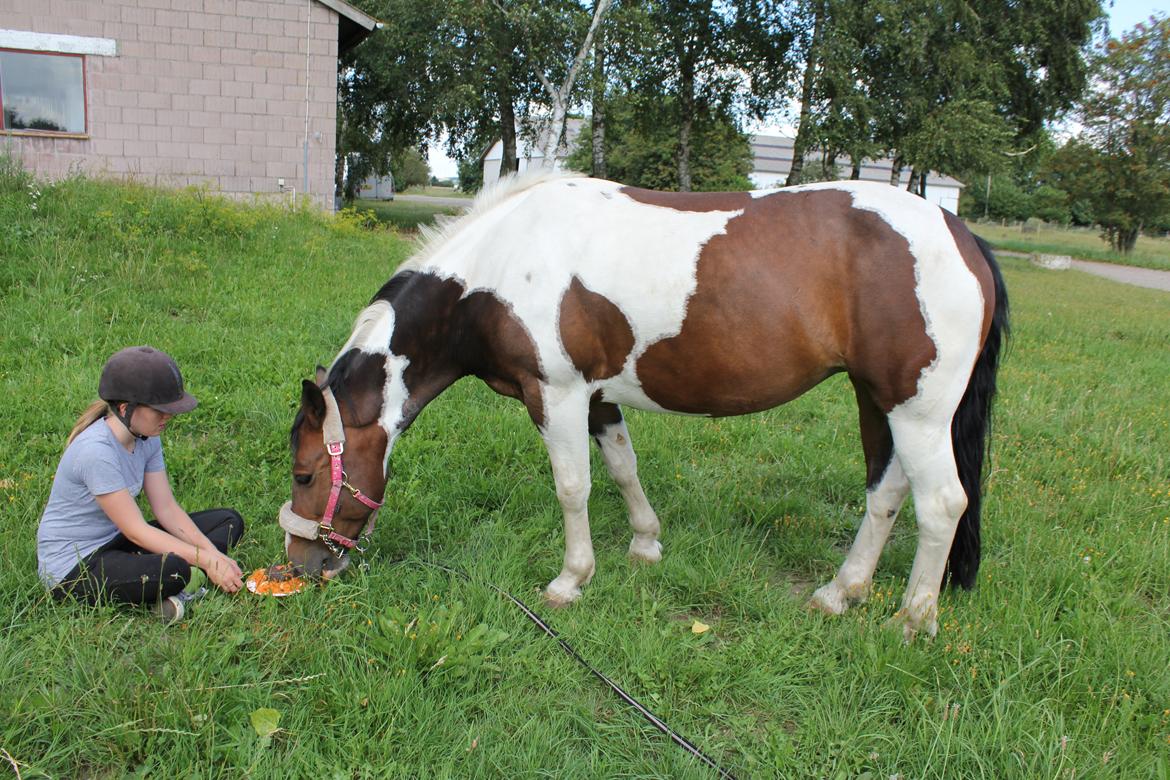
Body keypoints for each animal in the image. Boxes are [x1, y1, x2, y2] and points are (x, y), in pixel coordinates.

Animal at [280, 171, 1006, 640]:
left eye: (305, 472)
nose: (302, 565)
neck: (500, 267)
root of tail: (961, 234)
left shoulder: (558, 395)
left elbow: (573, 486)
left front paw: (571, 580)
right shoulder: (597, 396)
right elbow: (622, 468)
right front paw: (645, 544)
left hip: (917, 413)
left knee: (942, 504)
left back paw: (912, 620)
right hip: (878, 400)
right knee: (886, 493)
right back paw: (839, 594)